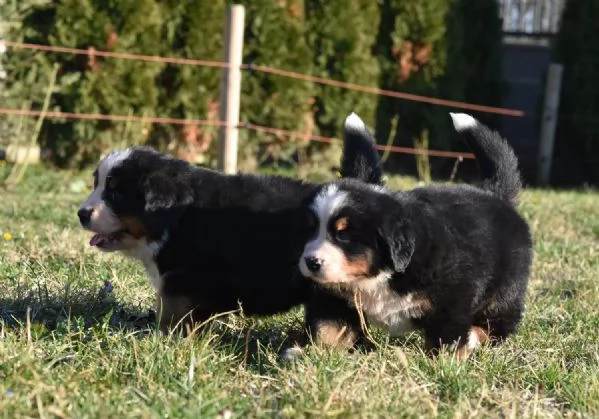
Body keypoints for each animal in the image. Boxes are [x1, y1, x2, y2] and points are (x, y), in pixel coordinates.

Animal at [77, 113, 382, 334]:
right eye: (97, 184)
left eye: (116, 194)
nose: (81, 213)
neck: (176, 217)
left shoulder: (181, 280)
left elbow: (171, 313)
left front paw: (163, 340)